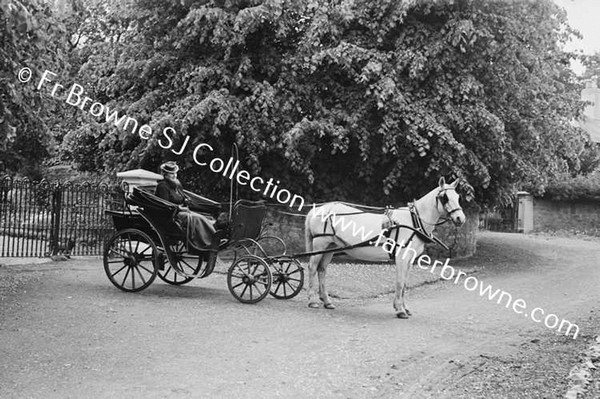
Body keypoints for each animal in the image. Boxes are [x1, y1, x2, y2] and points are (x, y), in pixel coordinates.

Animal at [304, 178, 464, 318]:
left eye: (457, 196)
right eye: (444, 197)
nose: (460, 219)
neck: (414, 222)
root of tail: (318, 209)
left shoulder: (409, 259)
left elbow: (405, 283)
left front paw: (404, 308)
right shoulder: (401, 257)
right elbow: (400, 283)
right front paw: (400, 310)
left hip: (330, 247)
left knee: (322, 270)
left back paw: (326, 301)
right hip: (320, 244)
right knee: (312, 268)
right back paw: (312, 301)